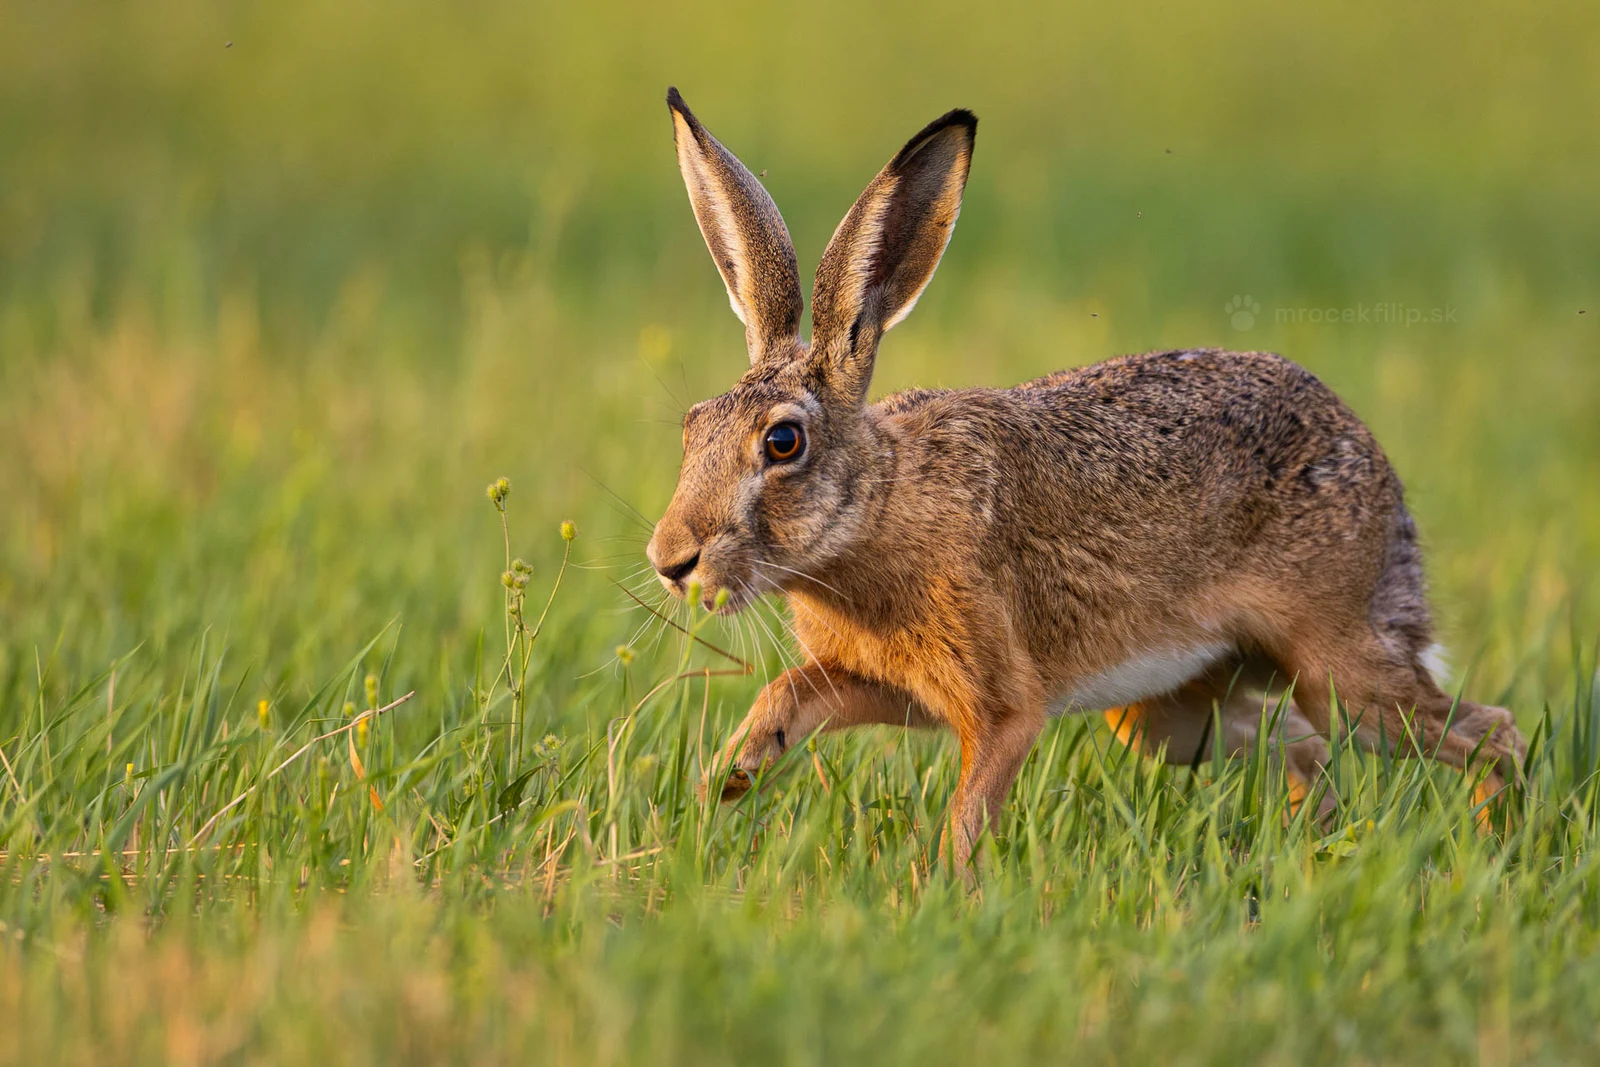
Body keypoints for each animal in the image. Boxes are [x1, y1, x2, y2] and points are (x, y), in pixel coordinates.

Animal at [645, 87, 1525, 867]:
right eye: (691, 424)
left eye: (783, 441)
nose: (670, 559)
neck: (878, 505)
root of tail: (1375, 467)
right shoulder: (894, 684)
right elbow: (792, 693)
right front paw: (729, 780)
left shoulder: (1003, 704)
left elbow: (968, 814)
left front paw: (948, 899)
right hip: (1169, 714)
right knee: (1303, 749)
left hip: (1343, 671)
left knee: (1488, 731)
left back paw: (1498, 848)